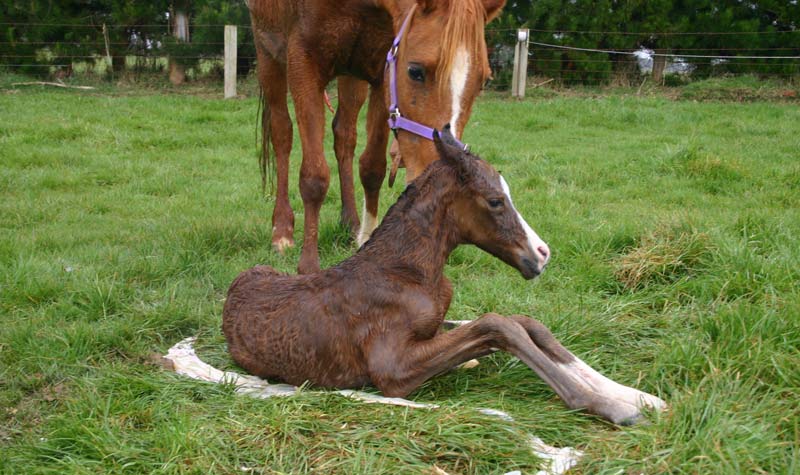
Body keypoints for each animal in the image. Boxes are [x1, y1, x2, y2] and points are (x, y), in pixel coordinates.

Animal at [222, 127, 664, 428]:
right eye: (495, 201)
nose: (543, 254)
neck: (408, 270)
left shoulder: (435, 325)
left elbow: (524, 323)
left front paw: (639, 396)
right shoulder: (391, 371)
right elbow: (498, 324)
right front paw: (613, 407)